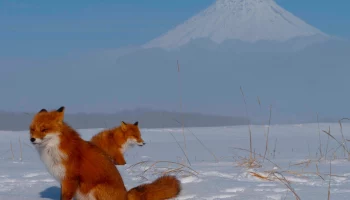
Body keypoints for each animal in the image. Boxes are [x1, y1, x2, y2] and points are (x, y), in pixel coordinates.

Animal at [29, 105, 182, 199]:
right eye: (32, 129)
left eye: (44, 129)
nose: (32, 139)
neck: (53, 150)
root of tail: (126, 195)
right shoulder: (63, 180)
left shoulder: (70, 179)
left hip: (96, 188)